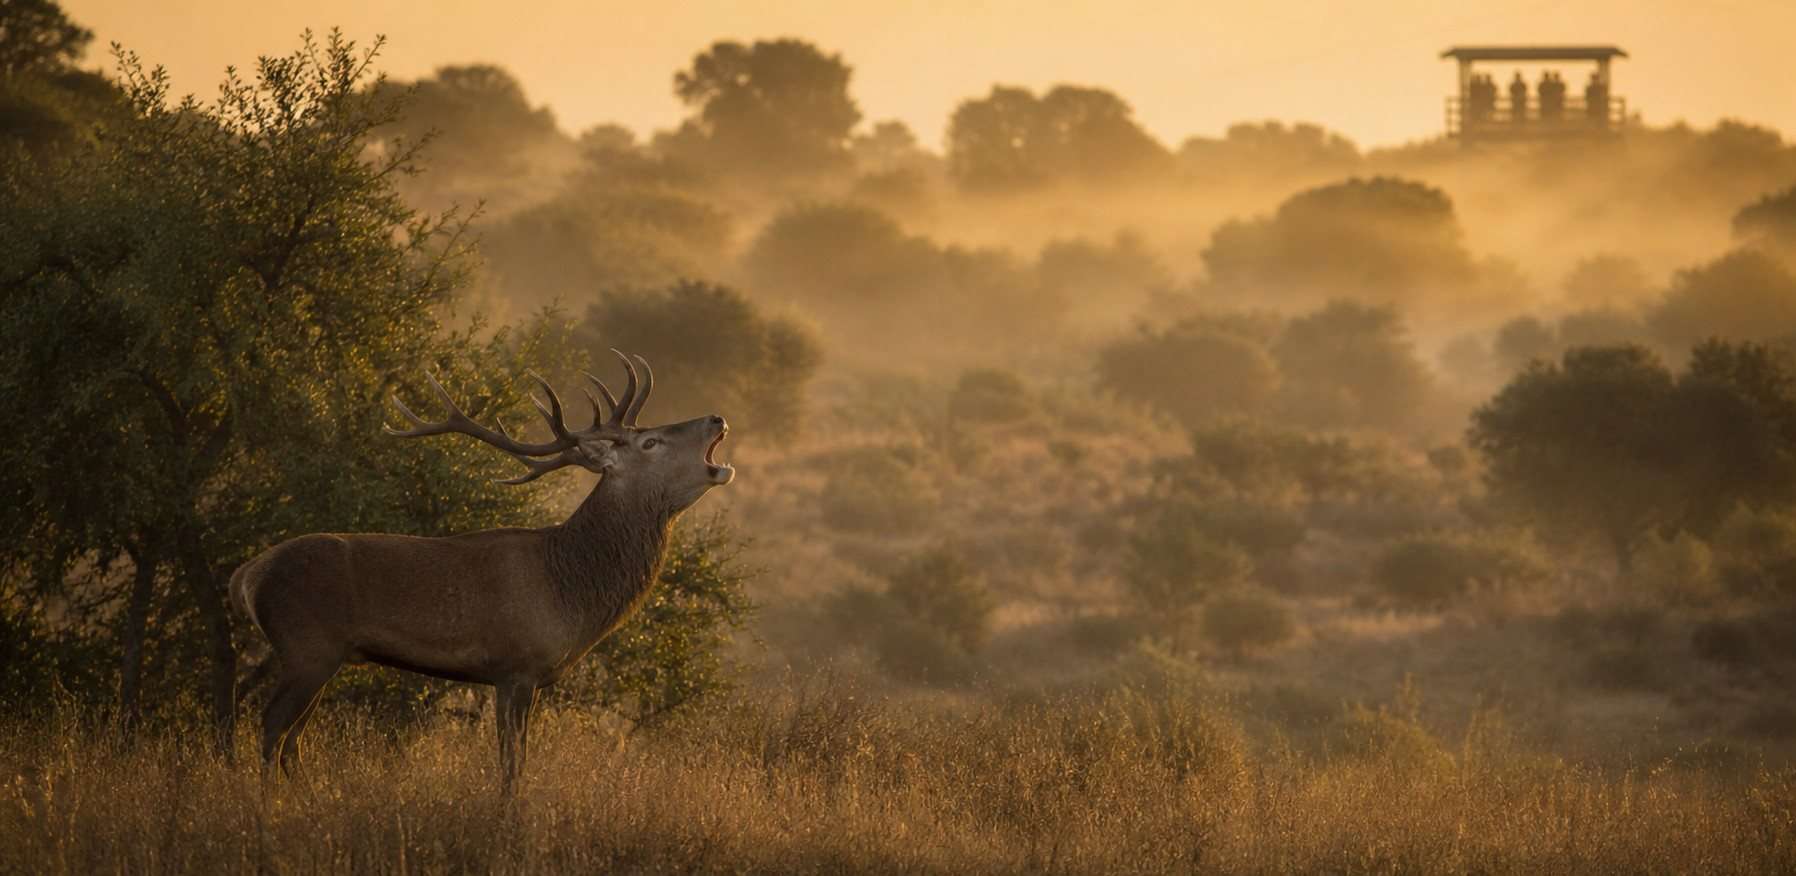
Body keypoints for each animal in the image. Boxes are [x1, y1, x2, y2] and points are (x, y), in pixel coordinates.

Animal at [229, 351, 733, 792]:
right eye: (650, 442)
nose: (716, 419)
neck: (571, 592)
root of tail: (248, 575)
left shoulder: (524, 678)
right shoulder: (515, 667)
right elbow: (512, 765)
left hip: (325, 657)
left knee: (293, 740)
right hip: (306, 648)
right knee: (272, 729)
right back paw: (268, 811)